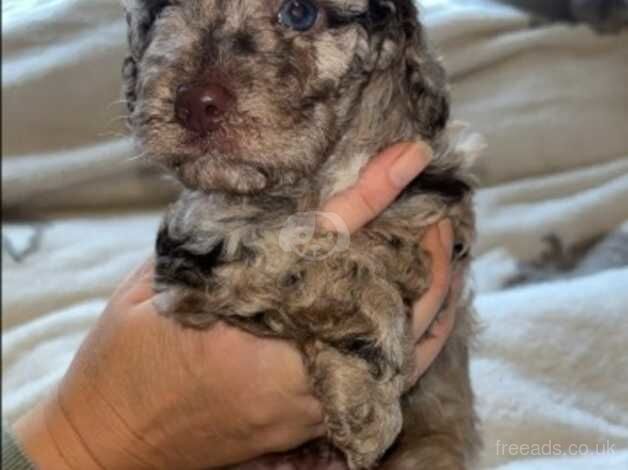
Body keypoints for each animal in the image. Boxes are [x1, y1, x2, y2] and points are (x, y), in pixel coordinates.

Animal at [124, 1, 486, 468]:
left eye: (299, 13)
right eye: (162, 10)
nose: (194, 105)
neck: (314, 183)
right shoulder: (201, 241)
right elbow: (311, 263)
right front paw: (370, 396)